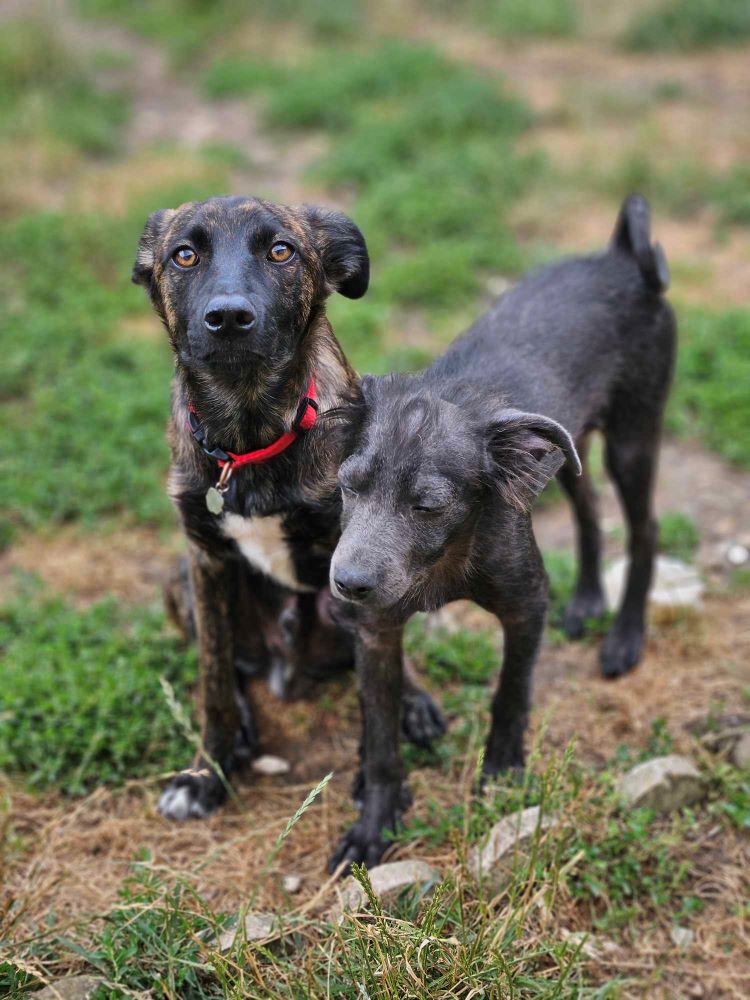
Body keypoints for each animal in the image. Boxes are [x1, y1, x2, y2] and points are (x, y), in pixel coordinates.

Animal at [132, 197, 444, 820]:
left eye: (281, 250)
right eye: (184, 255)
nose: (229, 317)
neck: (250, 428)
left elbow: (375, 685)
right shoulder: (205, 560)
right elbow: (213, 685)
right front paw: (205, 774)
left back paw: (414, 701)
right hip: (183, 582)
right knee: (228, 668)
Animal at [328, 193, 676, 868]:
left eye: (428, 506)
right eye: (348, 485)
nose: (346, 586)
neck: (442, 560)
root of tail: (623, 256)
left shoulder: (525, 606)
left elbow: (510, 693)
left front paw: (503, 773)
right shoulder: (377, 633)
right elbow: (380, 741)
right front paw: (373, 827)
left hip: (633, 433)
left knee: (644, 528)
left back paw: (624, 638)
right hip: (561, 451)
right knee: (589, 508)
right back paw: (588, 600)